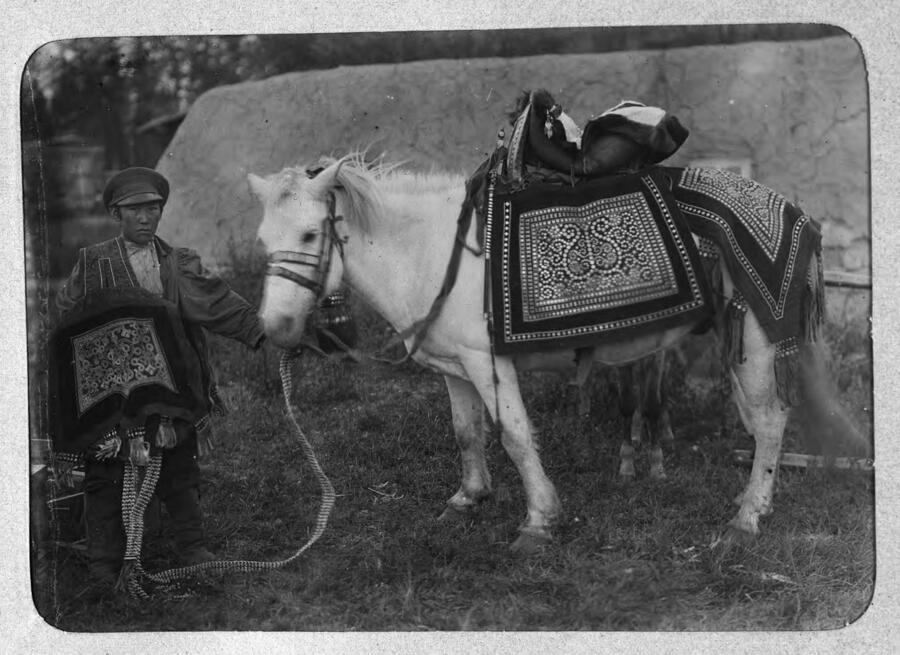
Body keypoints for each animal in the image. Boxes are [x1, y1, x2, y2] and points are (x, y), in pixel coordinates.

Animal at [248, 156, 856, 556]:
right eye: (262, 241)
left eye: (310, 235)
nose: (275, 329)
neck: (433, 251)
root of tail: (795, 212)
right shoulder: (456, 368)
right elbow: (465, 432)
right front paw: (467, 499)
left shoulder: (488, 364)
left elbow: (516, 437)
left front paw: (539, 520)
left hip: (755, 341)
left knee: (770, 424)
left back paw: (748, 516)